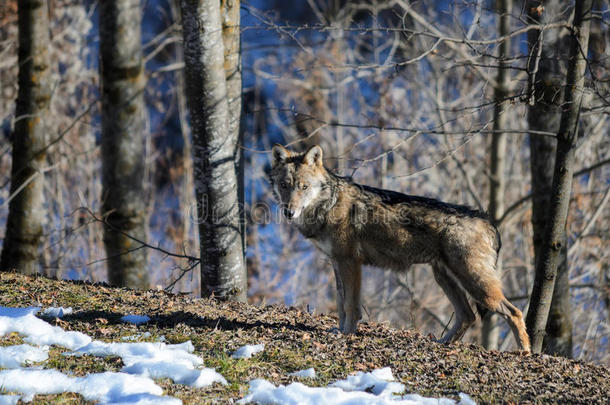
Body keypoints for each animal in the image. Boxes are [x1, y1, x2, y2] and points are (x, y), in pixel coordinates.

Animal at [270, 144, 528, 350]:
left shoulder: (350, 263)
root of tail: (487, 220)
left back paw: (524, 353)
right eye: (284, 185)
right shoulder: (336, 262)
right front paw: (339, 330)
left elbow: (350, 305)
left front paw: (347, 333)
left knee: (514, 312)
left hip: (476, 284)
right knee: (468, 316)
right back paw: (442, 343)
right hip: (444, 278)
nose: (289, 212)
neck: (329, 205)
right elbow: (341, 303)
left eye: (304, 187)